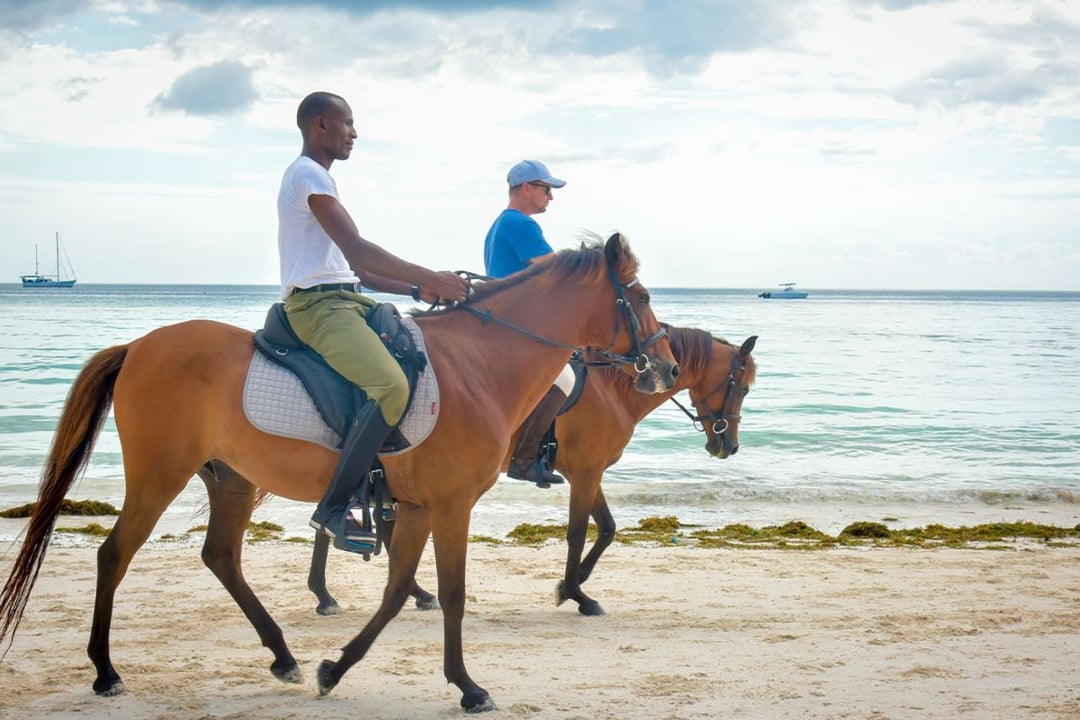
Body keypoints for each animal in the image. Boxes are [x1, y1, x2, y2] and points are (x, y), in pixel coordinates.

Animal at [0, 233, 679, 713]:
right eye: (643, 298)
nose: (669, 368)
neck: (481, 364)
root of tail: (139, 346)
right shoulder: (452, 505)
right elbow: (452, 594)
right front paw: (468, 686)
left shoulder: (419, 507)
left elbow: (397, 591)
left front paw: (337, 668)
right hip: (158, 475)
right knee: (114, 554)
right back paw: (105, 671)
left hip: (232, 479)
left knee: (221, 556)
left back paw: (283, 657)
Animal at [306, 326, 757, 617]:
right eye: (745, 386)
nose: (728, 446)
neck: (613, 389)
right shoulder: (587, 472)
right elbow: (579, 531)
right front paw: (575, 592)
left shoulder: (588, 472)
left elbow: (608, 528)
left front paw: (575, 581)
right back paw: (330, 594)